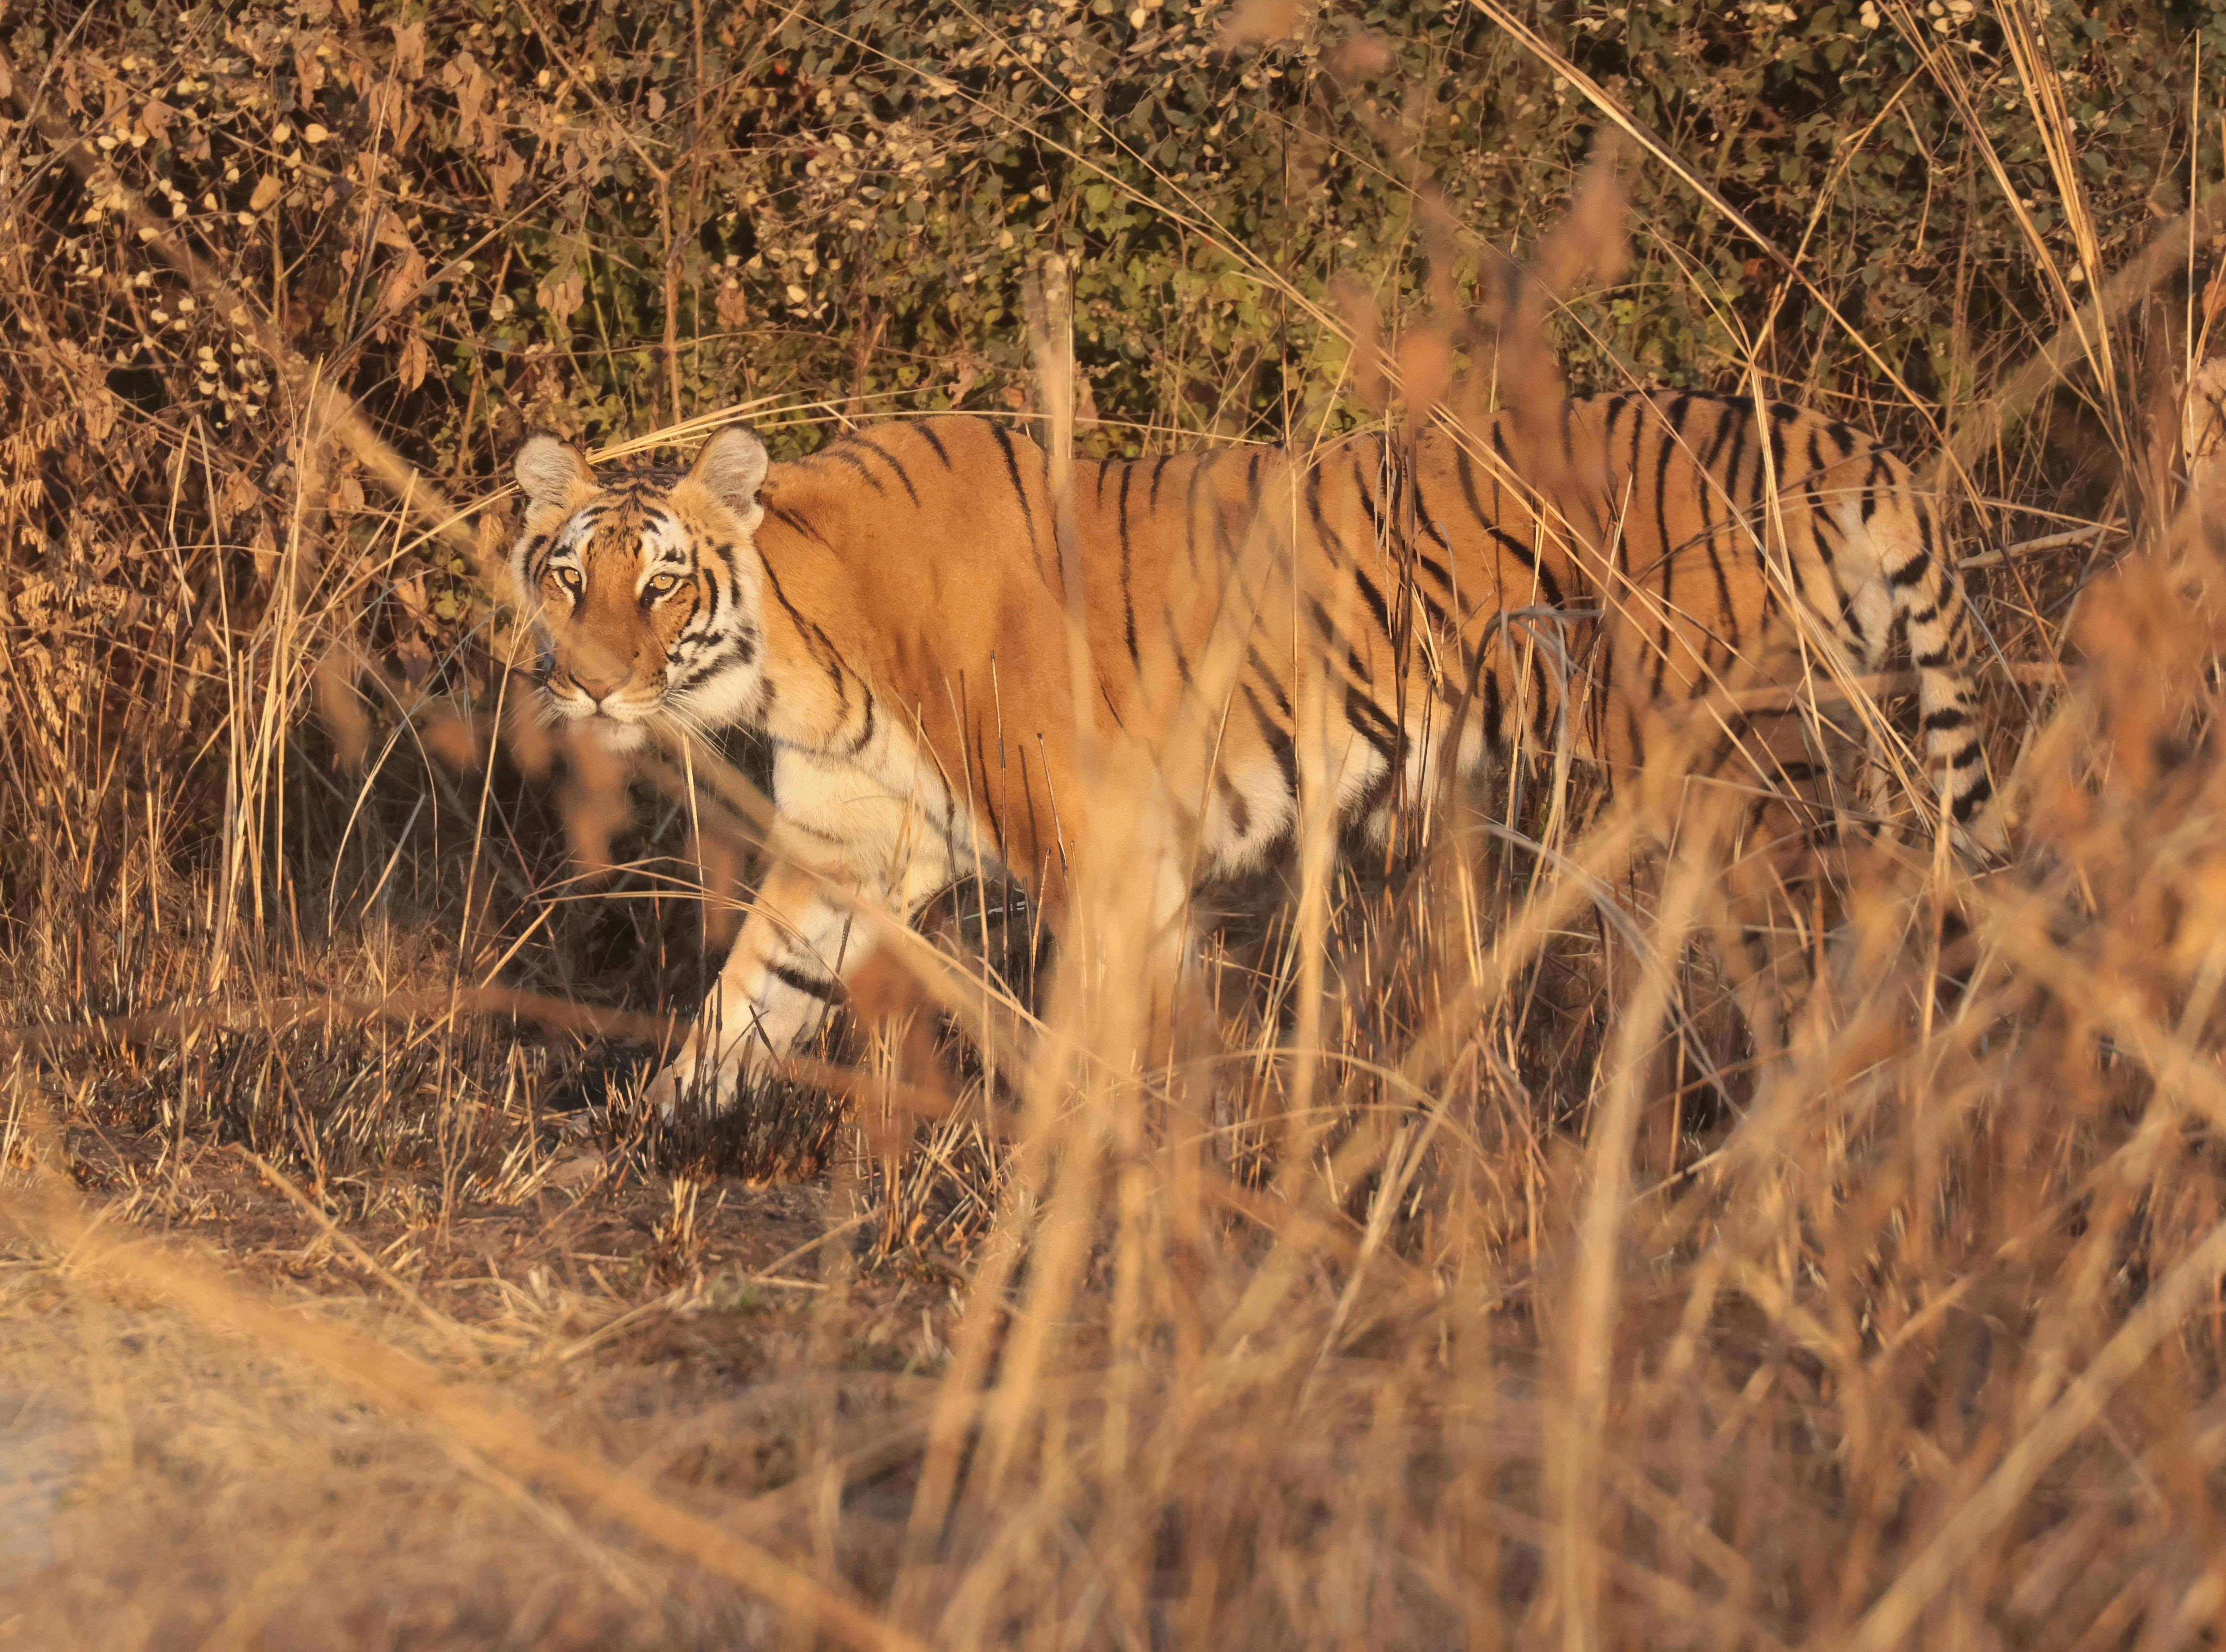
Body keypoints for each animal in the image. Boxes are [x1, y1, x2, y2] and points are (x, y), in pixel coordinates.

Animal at [507, 389, 2004, 1112]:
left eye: (662, 585)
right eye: (569, 573)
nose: (583, 682)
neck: (802, 654)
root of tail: (1843, 438)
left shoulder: (1102, 852)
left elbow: (1116, 1036)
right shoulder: (844, 854)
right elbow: (741, 1011)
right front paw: (644, 1140)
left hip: (1727, 767)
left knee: (1849, 924)